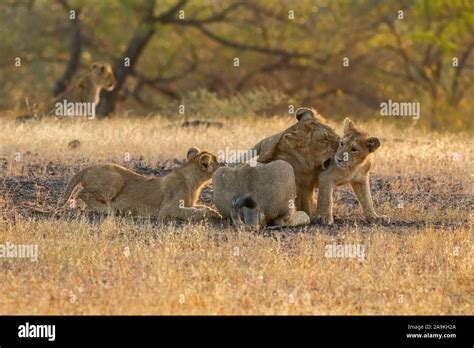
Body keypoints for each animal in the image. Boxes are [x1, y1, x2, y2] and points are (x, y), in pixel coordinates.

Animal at [59, 147, 222, 220]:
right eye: (217, 160)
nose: (224, 163)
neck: (195, 183)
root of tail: (89, 167)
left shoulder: (189, 204)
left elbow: (200, 207)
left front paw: (213, 211)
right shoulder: (168, 209)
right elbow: (194, 212)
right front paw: (214, 214)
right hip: (117, 179)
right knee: (82, 192)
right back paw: (110, 210)